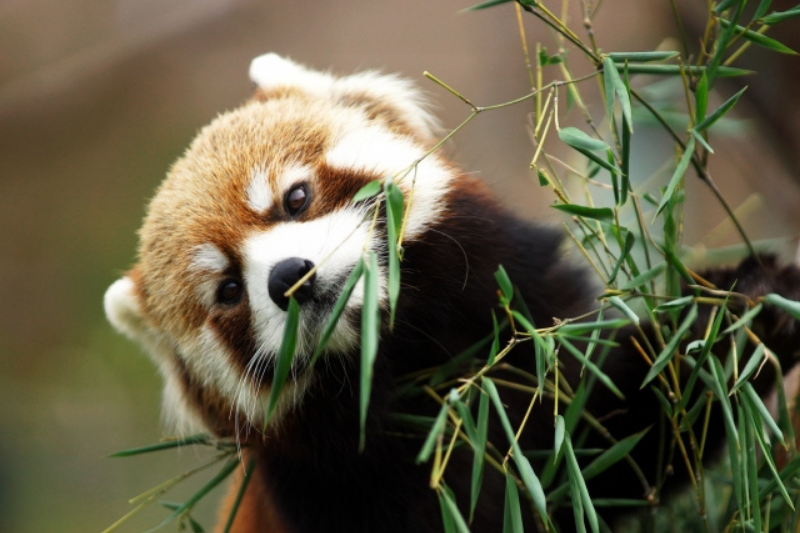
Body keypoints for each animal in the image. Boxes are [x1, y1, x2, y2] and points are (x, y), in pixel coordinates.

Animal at [104, 53, 800, 532]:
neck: (420, 362)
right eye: (226, 290)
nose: (287, 278)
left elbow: (625, 437)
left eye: (295, 198)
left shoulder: (533, 347)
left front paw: (741, 315)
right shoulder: (339, 483)